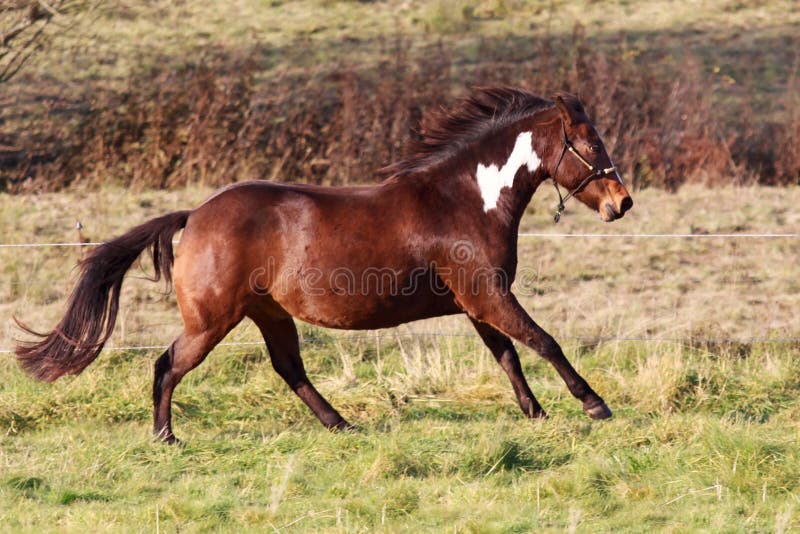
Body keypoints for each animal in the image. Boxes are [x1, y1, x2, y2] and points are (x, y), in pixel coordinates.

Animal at [15, 88, 636, 444]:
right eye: (589, 143)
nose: (622, 202)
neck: (468, 200)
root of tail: (195, 215)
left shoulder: (478, 302)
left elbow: (508, 355)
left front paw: (536, 414)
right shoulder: (487, 295)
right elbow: (543, 340)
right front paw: (594, 405)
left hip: (268, 314)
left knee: (289, 369)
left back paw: (341, 424)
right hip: (212, 320)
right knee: (168, 364)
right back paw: (166, 438)